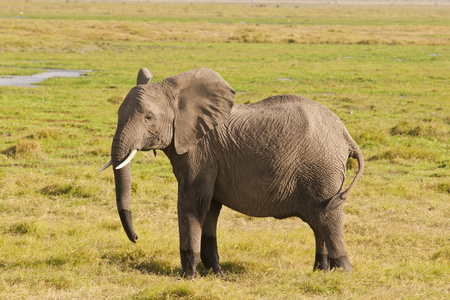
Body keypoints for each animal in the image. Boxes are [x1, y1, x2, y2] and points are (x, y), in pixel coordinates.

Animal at [97, 67, 362, 278]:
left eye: (148, 117)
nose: (136, 238)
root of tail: (346, 135)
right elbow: (210, 210)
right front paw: (215, 275)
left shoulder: (201, 153)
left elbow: (192, 204)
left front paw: (186, 277)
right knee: (318, 220)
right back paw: (321, 271)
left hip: (321, 169)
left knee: (328, 216)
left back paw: (344, 273)